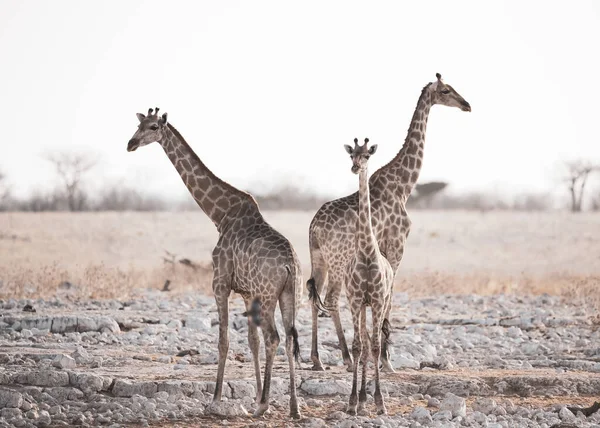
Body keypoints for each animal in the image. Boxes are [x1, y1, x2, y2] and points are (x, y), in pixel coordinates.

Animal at [127, 107, 304, 418]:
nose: (130, 144)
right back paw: (293, 408)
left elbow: (224, 340)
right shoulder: (246, 292)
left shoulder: (219, 282)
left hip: (269, 295)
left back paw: (264, 406)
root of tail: (290, 265)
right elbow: (251, 341)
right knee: (288, 338)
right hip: (289, 295)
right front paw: (254, 396)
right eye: (137, 125)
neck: (219, 215)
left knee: (274, 338)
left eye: (152, 127)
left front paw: (216, 399)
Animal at [308, 73, 472, 372]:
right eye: (446, 90)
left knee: (314, 298)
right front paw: (386, 360)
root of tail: (314, 226)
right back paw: (347, 358)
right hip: (338, 260)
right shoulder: (397, 246)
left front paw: (381, 356)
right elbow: (390, 297)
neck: (404, 186)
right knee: (331, 299)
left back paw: (317, 361)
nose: (467, 104)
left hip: (319, 258)